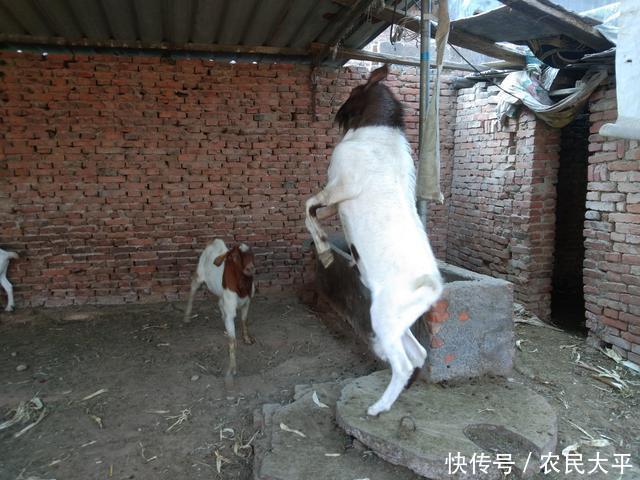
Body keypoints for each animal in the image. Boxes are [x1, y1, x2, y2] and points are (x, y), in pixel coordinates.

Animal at [308, 63, 442, 416]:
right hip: (397, 321)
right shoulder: (335, 201)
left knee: (404, 363)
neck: (378, 137)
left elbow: (307, 207)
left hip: (382, 315)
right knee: (418, 354)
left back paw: (377, 407)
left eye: (356, 90)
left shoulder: (339, 187)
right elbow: (315, 213)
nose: (338, 115)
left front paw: (325, 253)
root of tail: (431, 286)